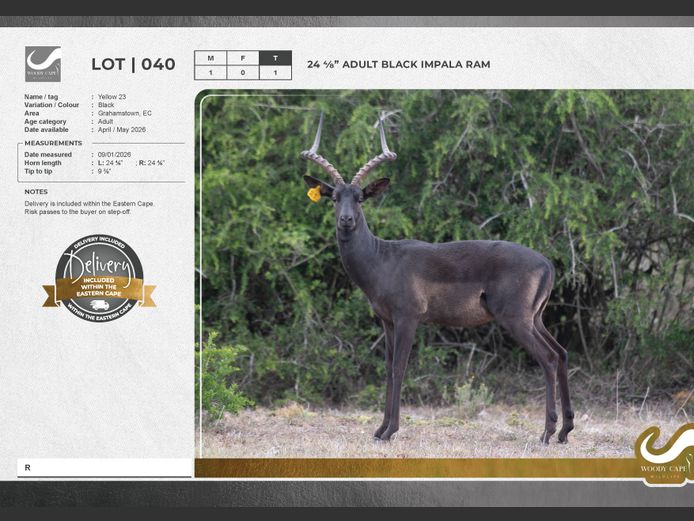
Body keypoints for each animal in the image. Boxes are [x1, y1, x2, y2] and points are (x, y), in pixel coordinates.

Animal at [300, 112, 574, 444]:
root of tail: (547, 264)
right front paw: (379, 430)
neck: (382, 259)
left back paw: (546, 433)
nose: (346, 220)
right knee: (561, 353)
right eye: (334, 198)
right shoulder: (387, 321)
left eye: (360, 198)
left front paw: (390, 431)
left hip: (516, 319)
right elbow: (388, 368)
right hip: (535, 318)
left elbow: (399, 368)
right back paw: (565, 431)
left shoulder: (408, 318)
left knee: (548, 358)